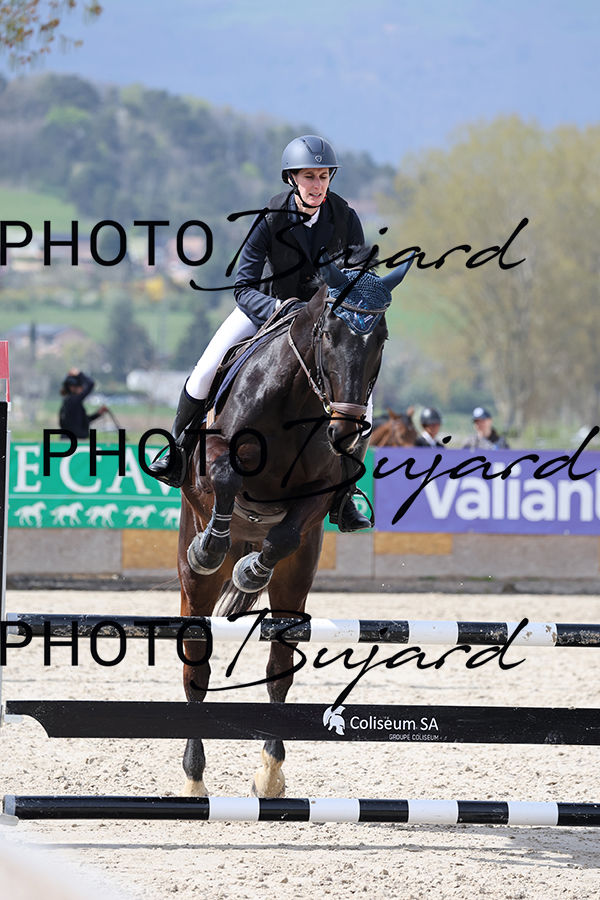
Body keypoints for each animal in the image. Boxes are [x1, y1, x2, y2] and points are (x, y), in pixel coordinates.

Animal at [177, 253, 412, 799]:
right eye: (328, 332)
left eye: (381, 337)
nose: (345, 428)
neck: (297, 402)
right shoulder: (215, 458)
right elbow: (224, 477)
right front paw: (214, 548)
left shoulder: (321, 491)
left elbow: (285, 531)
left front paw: (250, 573)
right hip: (193, 581)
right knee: (196, 664)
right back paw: (195, 778)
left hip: (297, 577)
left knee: (279, 668)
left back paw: (270, 772)